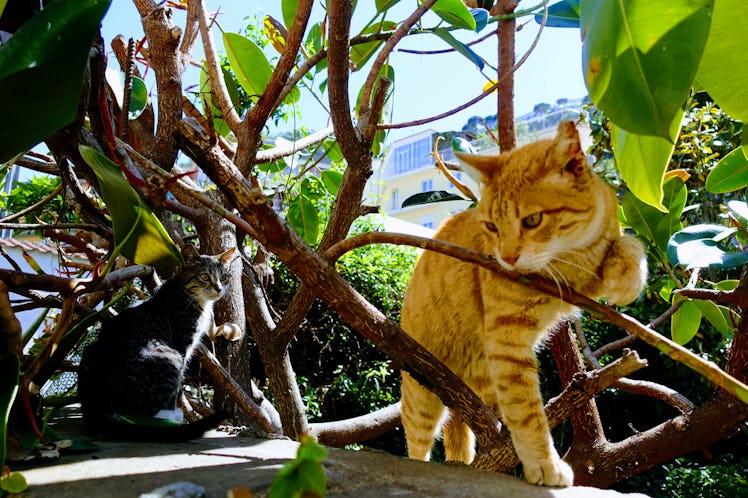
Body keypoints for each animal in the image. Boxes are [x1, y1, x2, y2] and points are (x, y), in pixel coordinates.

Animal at [79, 243, 238, 442]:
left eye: (224, 277)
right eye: (204, 276)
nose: (219, 289)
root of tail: (97, 410)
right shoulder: (181, 345)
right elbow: (178, 387)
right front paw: (173, 410)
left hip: (90, 351)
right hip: (169, 356)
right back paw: (167, 416)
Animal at [400, 120, 644, 486]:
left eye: (532, 220)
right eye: (491, 226)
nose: (507, 258)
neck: (571, 259)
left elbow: (629, 243)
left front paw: (628, 275)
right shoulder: (508, 340)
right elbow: (527, 412)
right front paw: (544, 462)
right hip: (422, 397)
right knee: (417, 448)